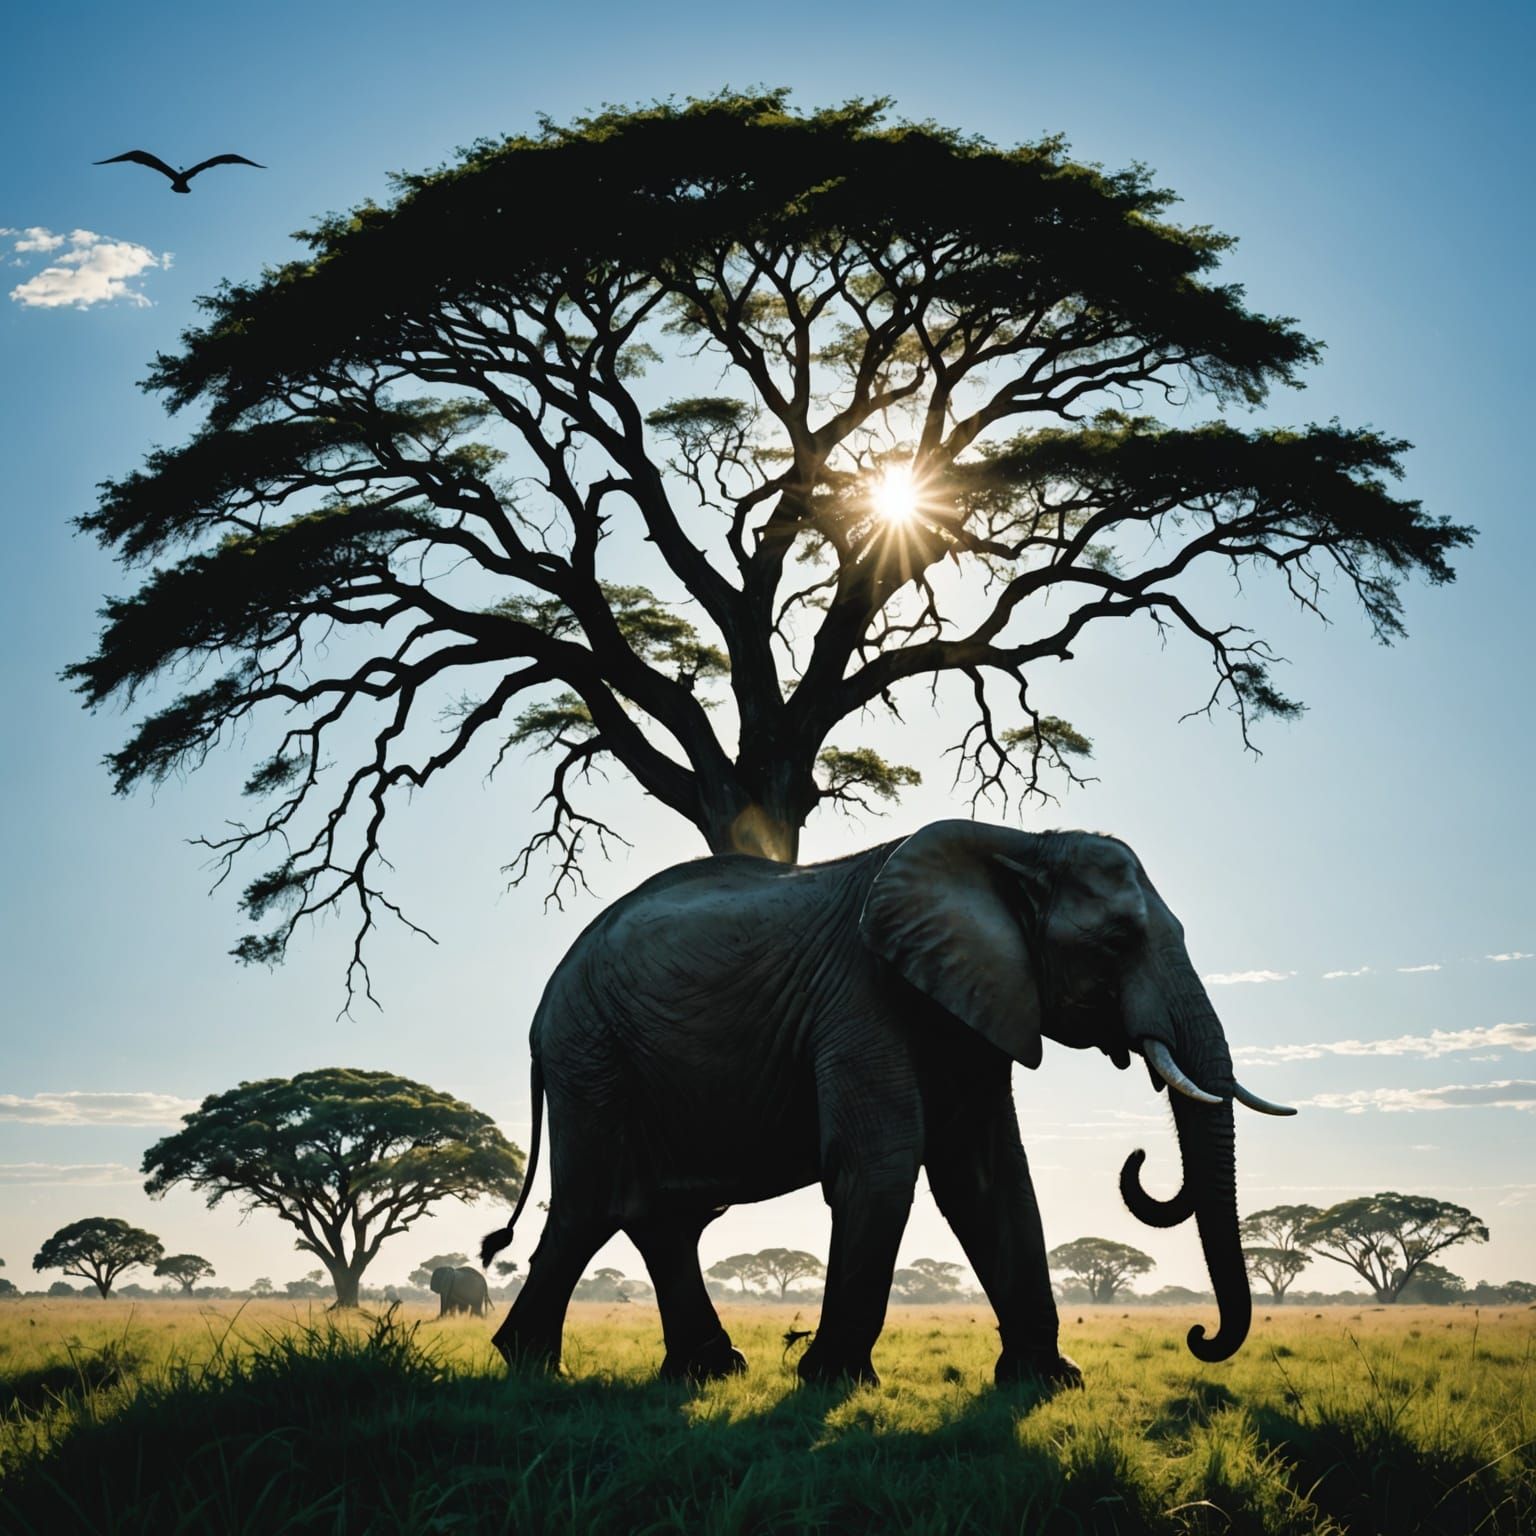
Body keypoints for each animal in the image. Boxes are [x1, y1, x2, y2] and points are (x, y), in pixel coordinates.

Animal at [481, 820, 1294, 1386]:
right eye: (1119, 940)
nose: (1198, 1338)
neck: (1017, 845)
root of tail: (542, 1006)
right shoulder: (860, 994)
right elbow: (881, 1163)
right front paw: (832, 1383)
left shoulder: (975, 1003)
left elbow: (986, 1174)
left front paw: (1050, 1384)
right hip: (592, 1052)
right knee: (596, 1201)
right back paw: (531, 1367)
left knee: (655, 1213)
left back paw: (704, 1371)